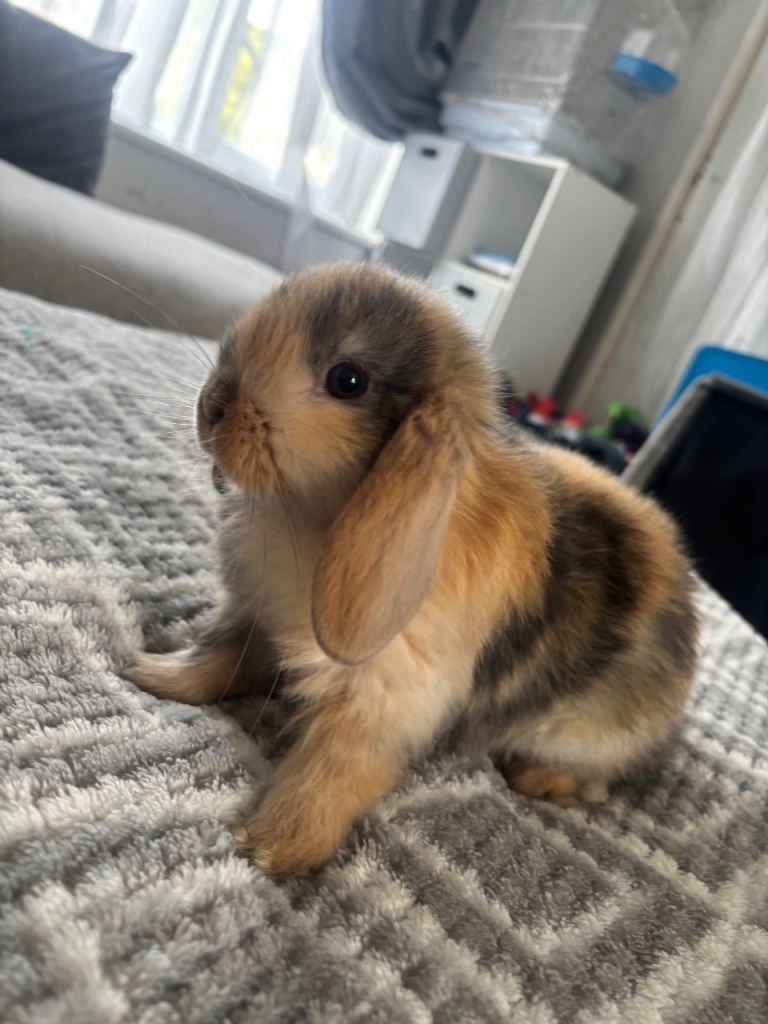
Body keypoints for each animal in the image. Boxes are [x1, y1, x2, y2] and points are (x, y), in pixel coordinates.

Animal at [128, 263, 698, 878]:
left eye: (348, 380)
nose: (212, 404)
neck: (313, 517)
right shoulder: (256, 618)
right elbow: (215, 660)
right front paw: (148, 673)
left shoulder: (379, 709)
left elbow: (326, 777)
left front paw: (269, 849)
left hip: (583, 738)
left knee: (596, 782)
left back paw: (534, 777)